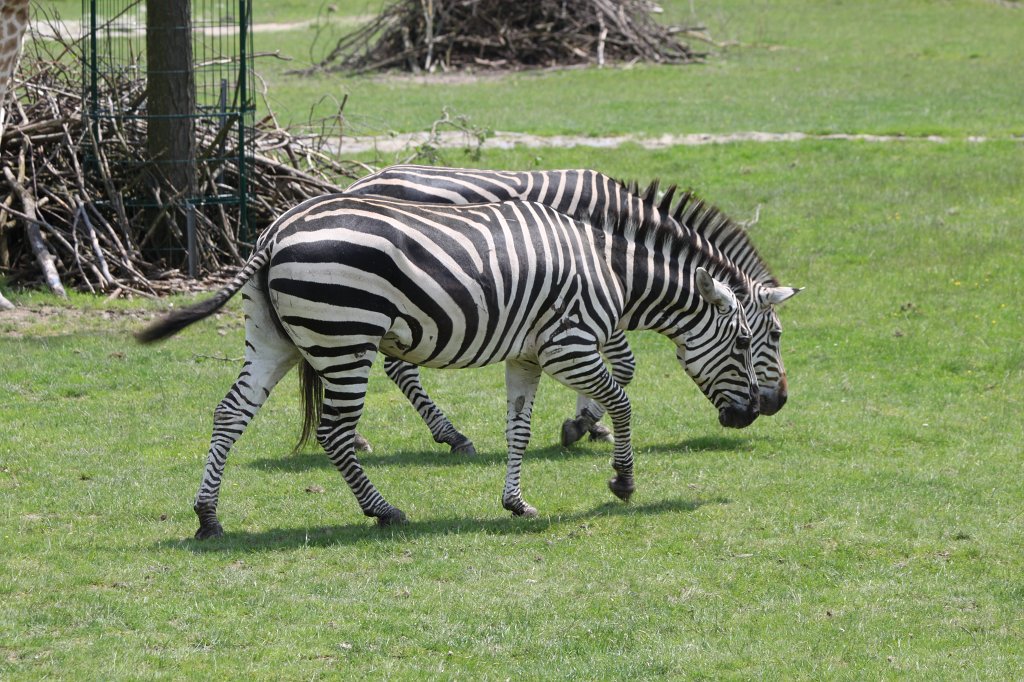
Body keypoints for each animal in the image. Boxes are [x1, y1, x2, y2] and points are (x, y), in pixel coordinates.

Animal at [138, 190, 760, 537]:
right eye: (745, 343)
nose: (754, 412)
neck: (613, 272)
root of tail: (273, 233)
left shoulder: (528, 355)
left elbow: (518, 428)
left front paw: (515, 502)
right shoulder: (571, 346)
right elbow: (624, 403)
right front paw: (623, 481)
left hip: (276, 340)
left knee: (230, 414)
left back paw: (207, 516)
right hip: (347, 338)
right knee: (335, 433)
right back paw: (384, 511)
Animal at [344, 165, 801, 450]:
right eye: (771, 337)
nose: (776, 404)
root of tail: (359, 183)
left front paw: (591, 422)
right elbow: (626, 364)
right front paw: (584, 423)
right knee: (393, 366)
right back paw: (449, 436)